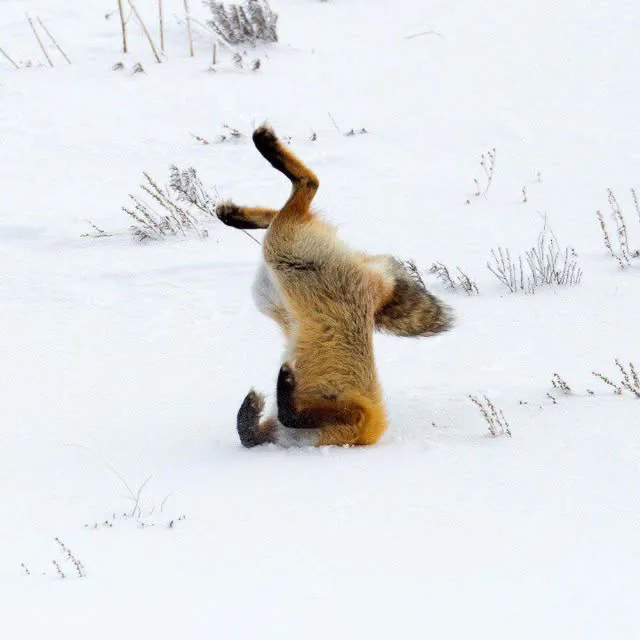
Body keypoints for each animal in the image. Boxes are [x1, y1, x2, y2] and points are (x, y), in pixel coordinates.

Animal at [218, 126, 453, 447]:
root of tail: (374, 285)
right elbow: (254, 432)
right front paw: (259, 402)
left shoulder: (355, 417)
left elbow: (278, 421)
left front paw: (276, 389)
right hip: (278, 272)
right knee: (298, 198)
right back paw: (237, 208)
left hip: (280, 261)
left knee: (306, 187)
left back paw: (261, 155)